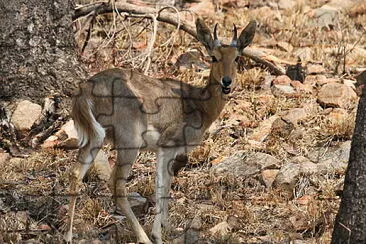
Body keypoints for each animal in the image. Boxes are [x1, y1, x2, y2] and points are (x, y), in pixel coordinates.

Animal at [65, 18, 254, 243]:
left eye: (237, 57)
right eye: (213, 57)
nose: (227, 81)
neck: (199, 106)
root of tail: (85, 91)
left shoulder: (169, 151)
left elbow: (167, 183)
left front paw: (168, 225)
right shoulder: (167, 145)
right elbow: (160, 186)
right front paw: (158, 233)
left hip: (95, 138)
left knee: (75, 173)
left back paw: (67, 236)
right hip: (129, 141)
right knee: (116, 184)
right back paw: (144, 237)